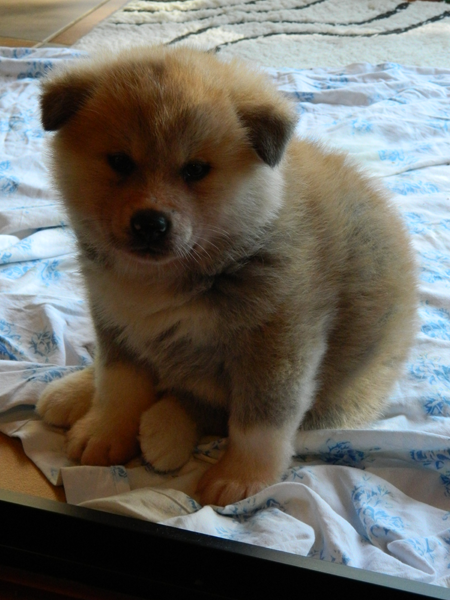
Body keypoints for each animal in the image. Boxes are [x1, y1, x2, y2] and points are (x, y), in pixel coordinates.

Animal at [37, 46, 416, 507]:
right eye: (120, 162)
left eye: (195, 170)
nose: (150, 224)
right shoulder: (114, 318)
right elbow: (118, 383)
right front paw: (105, 430)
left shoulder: (276, 343)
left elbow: (258, 423)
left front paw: (242, 477)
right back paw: (73, 392)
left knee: (203, 403)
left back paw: (163, 429)